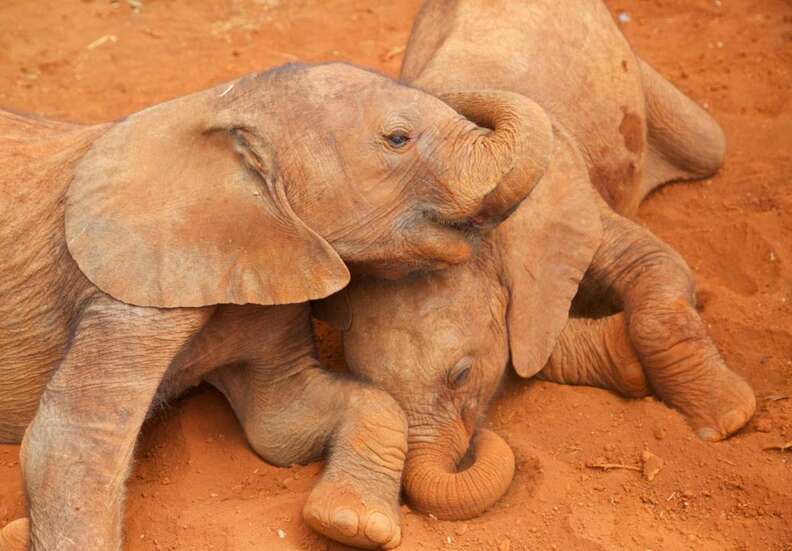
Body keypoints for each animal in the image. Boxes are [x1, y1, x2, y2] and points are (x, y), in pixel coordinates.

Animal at [0, 61, 556, 551]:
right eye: (398, 139)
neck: (217, 107)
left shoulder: (269, 277)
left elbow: (284, 421)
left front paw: (351, 526)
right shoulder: (128, 285)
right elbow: (72, 442)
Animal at [316, 0, 756, 528]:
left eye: (461, 375)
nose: (478, 441)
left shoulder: (568, 199)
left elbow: (655, 265)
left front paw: (726, 423)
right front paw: (623, 362)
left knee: (709, 146)